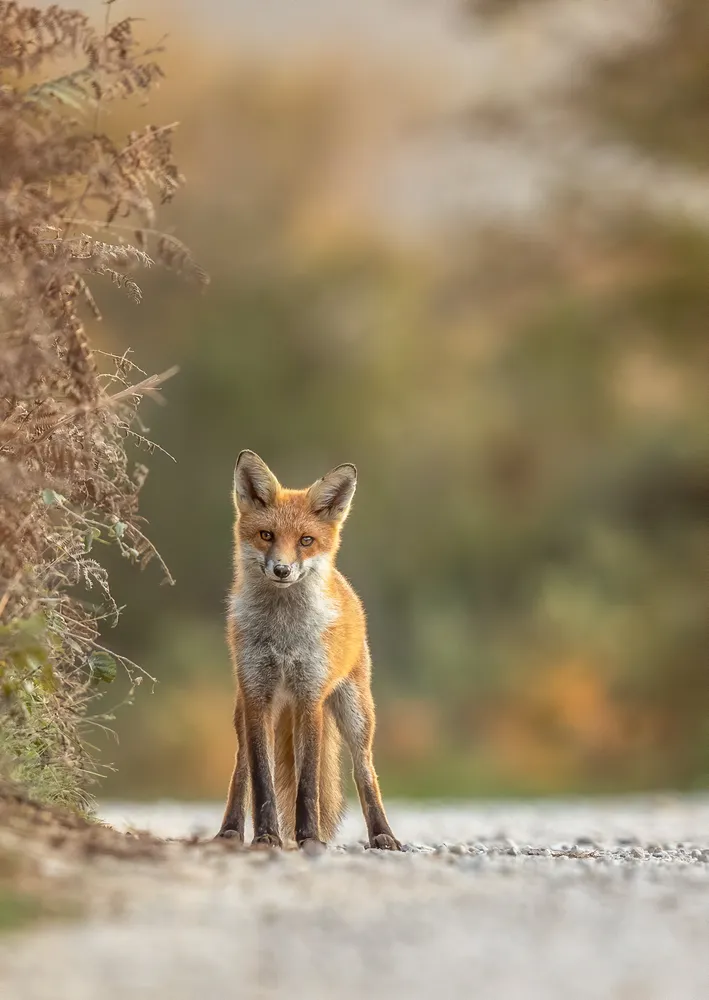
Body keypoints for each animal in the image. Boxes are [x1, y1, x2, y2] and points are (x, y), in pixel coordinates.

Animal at [217, 450, 401, 851]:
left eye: (305, 540)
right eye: (266, 535)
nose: (282, 570)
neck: (283, 637)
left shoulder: (309, 696)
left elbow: (308, 783)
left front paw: (309, 837)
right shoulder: (257, 696)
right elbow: (262, 779)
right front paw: (266, 835)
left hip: (356, 713)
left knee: (364, 771)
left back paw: (383, 834)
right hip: (243, 710)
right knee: (241, 768)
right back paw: (230, 830)